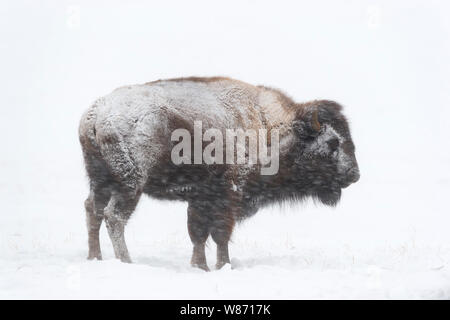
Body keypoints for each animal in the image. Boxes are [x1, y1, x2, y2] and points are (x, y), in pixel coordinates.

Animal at [78, 77, 358, 270]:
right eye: (332, 142)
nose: (354, 174)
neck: (271, 128)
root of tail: (96, 114)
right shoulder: (228, 196)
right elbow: (220, 234)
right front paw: (224, 266)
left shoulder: (199, 199)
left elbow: (198, 234)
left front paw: (199, 266)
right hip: (131, 185)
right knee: (114, 216)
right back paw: (126, 261)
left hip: (100, 179)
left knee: (93, 209)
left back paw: (95, 257)